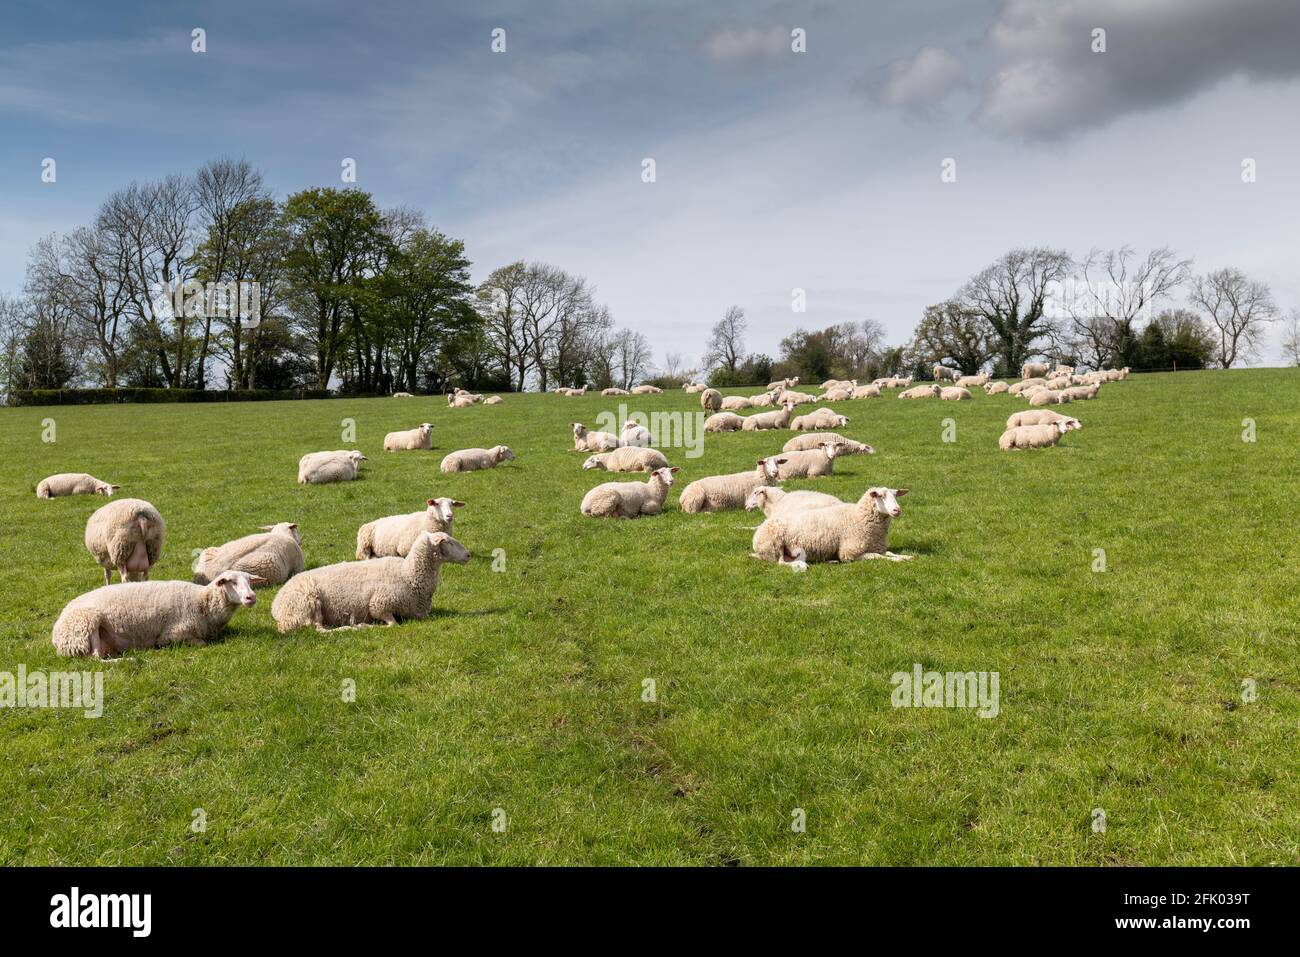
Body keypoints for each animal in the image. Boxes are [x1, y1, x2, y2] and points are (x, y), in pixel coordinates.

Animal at [53, 566, 261, 657]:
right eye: (231, 582)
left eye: (249, 581)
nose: (251, 597)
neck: (202, 602)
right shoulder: (174, 633)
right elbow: (201, 643)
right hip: (87, 622)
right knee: (95, 658)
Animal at [271, 527, 470, 631]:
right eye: (448, 542)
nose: (468, 555)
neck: (408, 575)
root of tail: (276, 605)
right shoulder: (379, 604)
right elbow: (392, 624)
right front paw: (369, 626)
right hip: (309, 604)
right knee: (318, 629)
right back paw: (349, 628)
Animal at [754, 486, 915, 566]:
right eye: (880, 496)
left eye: (896, 495)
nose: (897, 510)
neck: (858, 516)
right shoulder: (849, 553)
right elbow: (877, 556)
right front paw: (898, 560)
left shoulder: (876, 546)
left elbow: (889, 553)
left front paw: (906, 556)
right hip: (774, 546)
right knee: (781, 562)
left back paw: (830, 560)